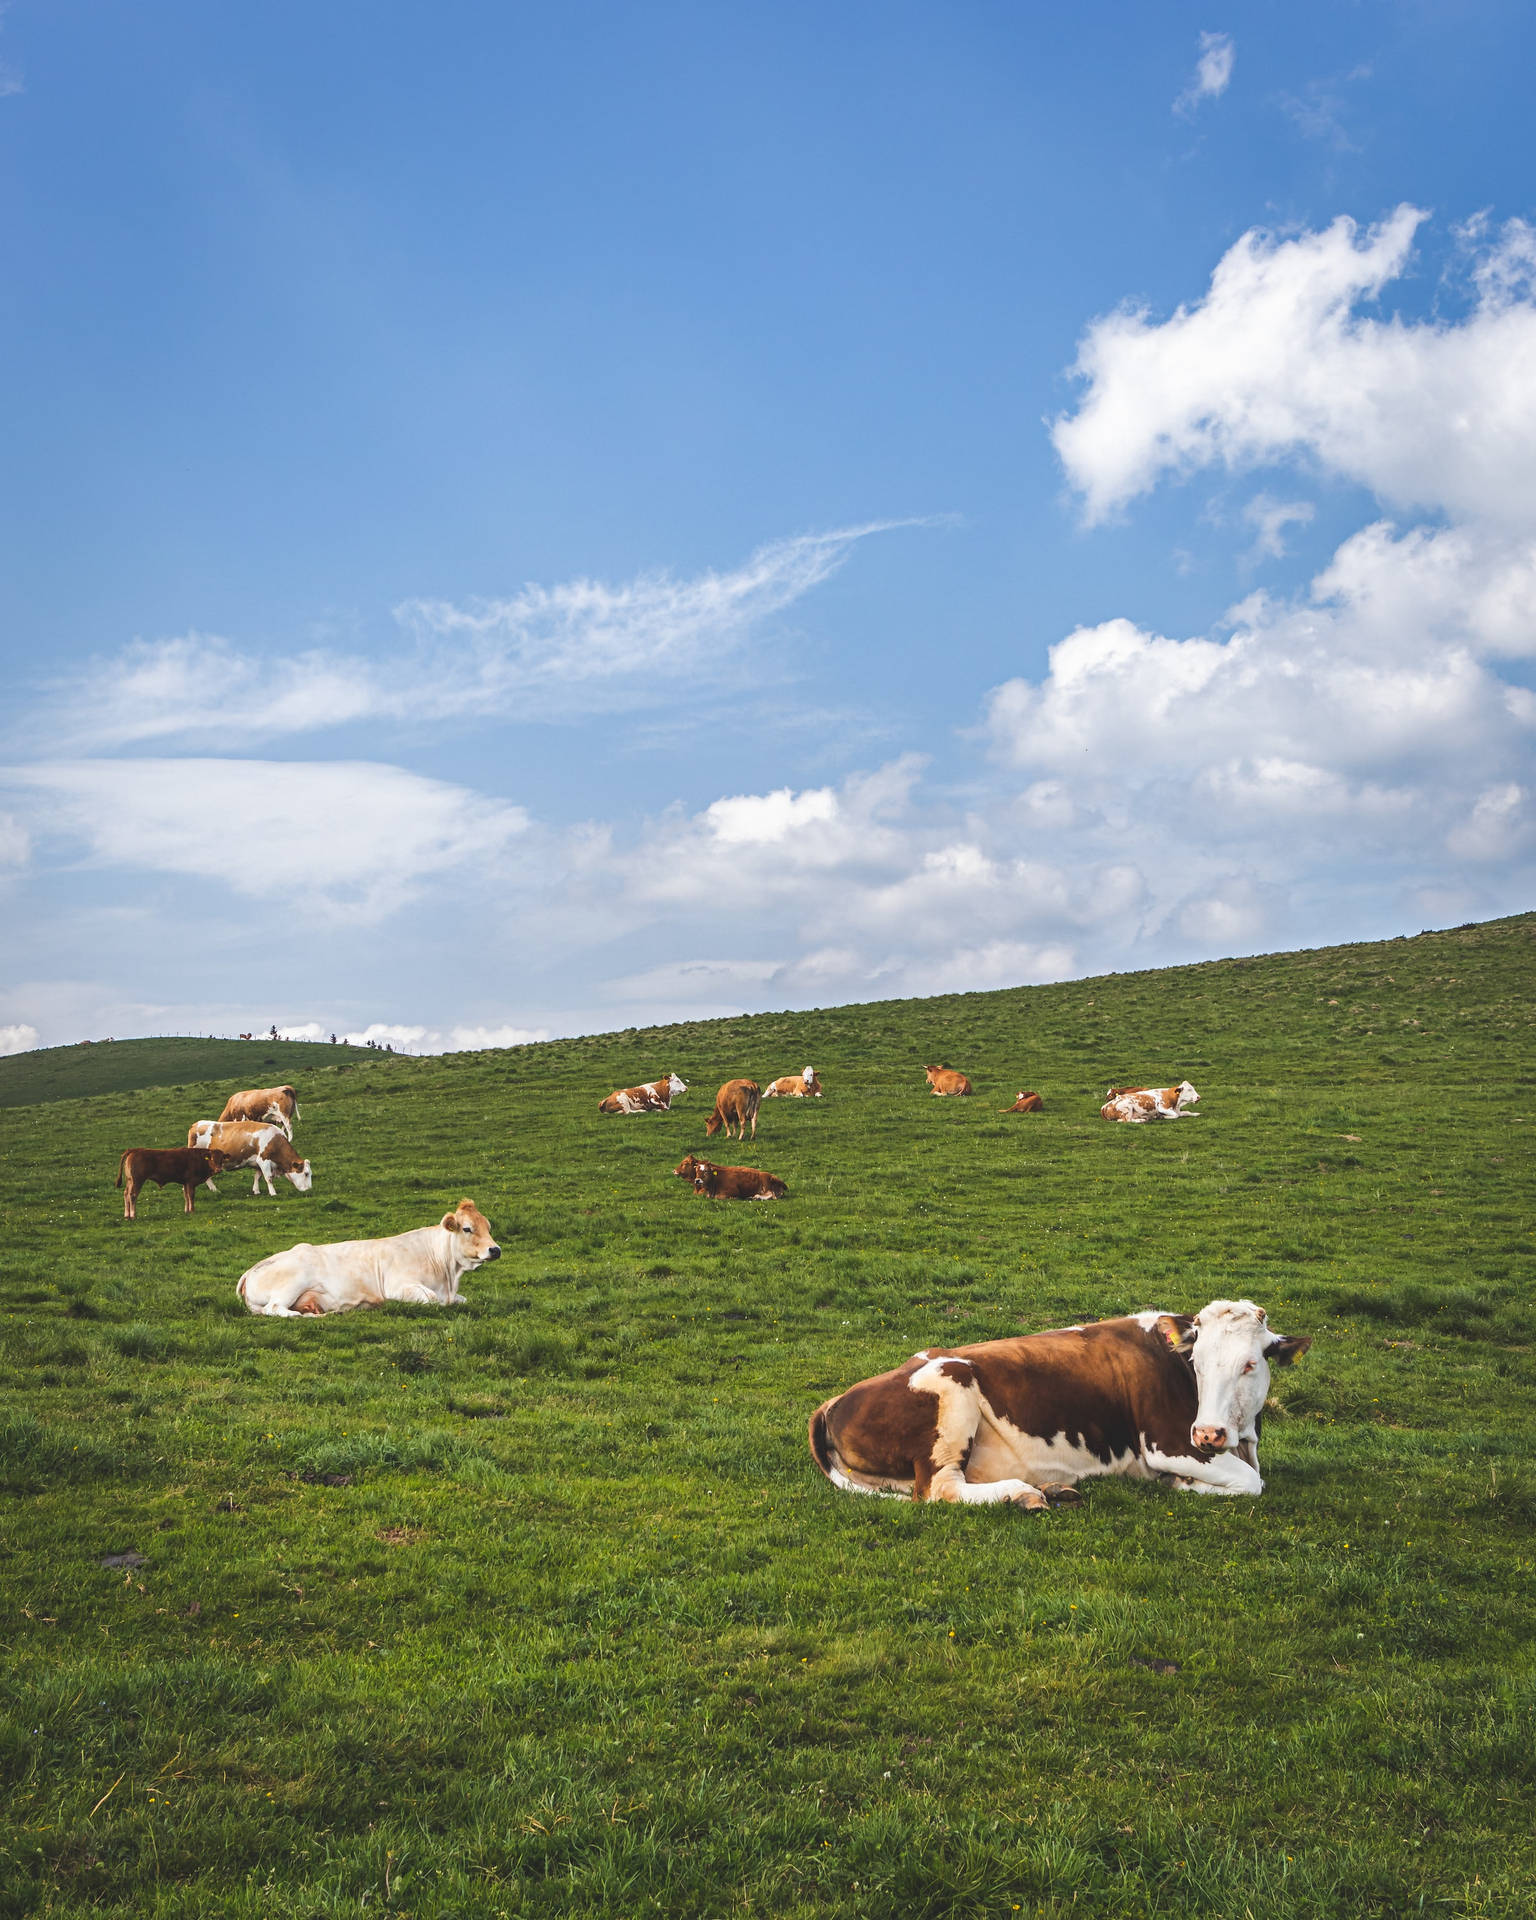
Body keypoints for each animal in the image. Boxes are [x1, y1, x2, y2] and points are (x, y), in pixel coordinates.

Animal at [235, 1190, 499, 1313]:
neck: (447, 1276)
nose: (495, 1250)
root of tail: (250, 1270)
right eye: (467, 1228)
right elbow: (431, 1299)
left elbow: (462, 1300)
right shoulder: (397, 1285)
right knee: (274, 1309)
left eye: (489, 1226)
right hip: (291, 1284)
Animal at [802, 1297, 1305, 1505]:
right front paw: (1180, 1484)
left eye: (1251, 1363)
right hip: (952, 1391)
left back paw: (1052, 1489)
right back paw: (1023, 1494)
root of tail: (835, 1400)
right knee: (941, 1489)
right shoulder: (1168, 1443)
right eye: (1196, 1360)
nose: (1207, 1433)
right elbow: (1251, 1482)